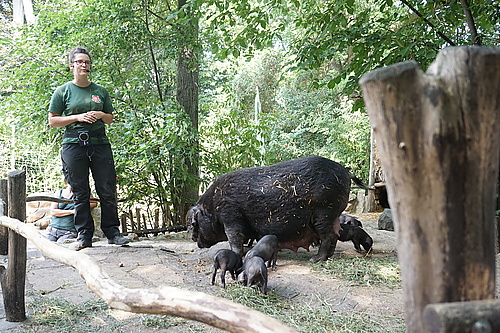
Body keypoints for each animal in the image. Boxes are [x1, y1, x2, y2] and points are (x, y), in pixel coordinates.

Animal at [188, 154, 368, 260]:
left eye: (194, 224)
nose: (193, 238)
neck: (212, 207)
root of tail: (345, 171)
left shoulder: (230, 214)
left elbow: (234, 238)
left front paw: (236, 253)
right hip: (332, 214)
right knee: (335, 235)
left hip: (324, 211)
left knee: (329, 236)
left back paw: (315, 259)